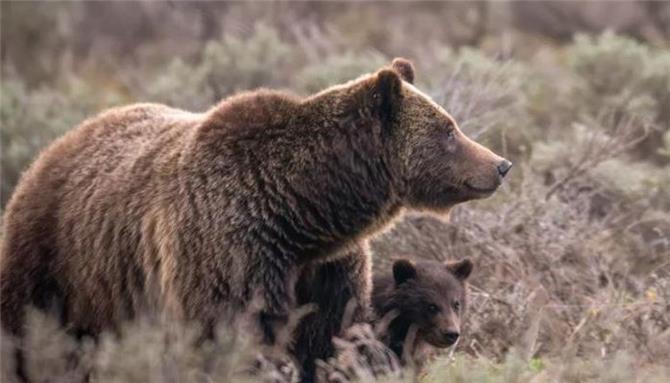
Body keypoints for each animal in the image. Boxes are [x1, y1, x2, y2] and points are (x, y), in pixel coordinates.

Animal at [1, 58, 516, 382]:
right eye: (448, 130)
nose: (501, 164)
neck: (301, 212)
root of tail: (57, 146)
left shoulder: (327, 269)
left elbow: (326, 339)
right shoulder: (229, 251)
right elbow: (233, 337)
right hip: (57, 262)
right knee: (29, 335)